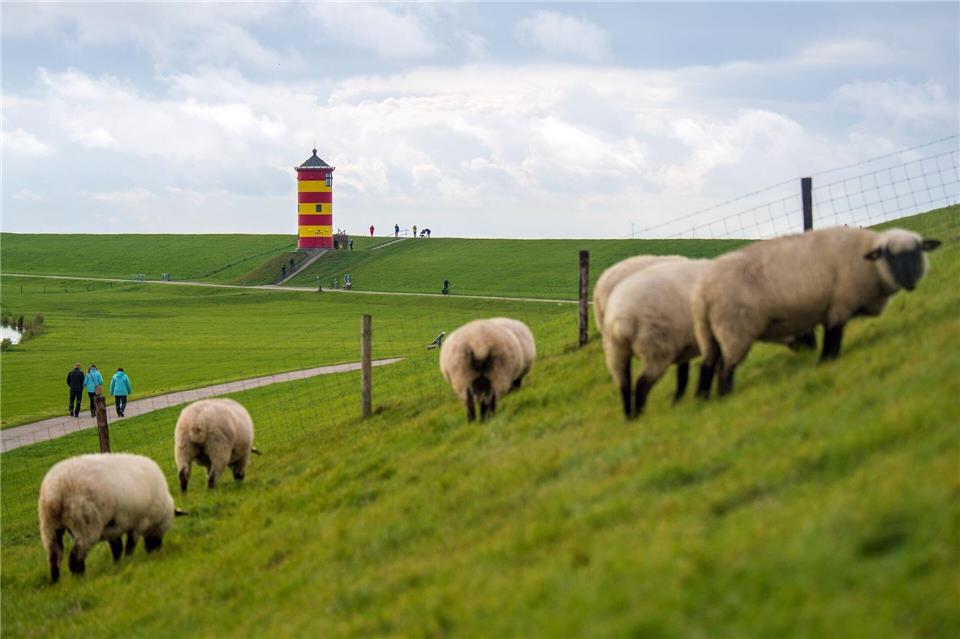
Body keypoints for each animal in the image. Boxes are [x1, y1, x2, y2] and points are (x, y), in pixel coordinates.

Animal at [38, 453, 186, 583]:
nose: (155, 551)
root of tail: (54, 493)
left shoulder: (114, 527)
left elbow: (117, 547)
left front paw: (117, 564)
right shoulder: (139, 523)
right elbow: (130, 545)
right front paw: (128, 560)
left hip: (49, 526)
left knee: (54, 556)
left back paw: (56, 581)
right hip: (85, 525)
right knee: (75, 557)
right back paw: (79, 578)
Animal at [602, 259, 710, 418]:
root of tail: (621, 319)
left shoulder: (685, 346)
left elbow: (682, 374)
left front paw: (678, 401)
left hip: (616, 351)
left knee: (624, 384)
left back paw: (629, 418)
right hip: (656, 347)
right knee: (641, 384)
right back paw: (640, 416)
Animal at [692, 226, 941, 398]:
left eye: (917, 252)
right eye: (888, 255)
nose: (910, 281)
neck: (868, 260)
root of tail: (702, 292)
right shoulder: (839, 305)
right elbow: (833, 336)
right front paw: (826, 362)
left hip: (709, 333)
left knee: (708, 365)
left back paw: (703, 400)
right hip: (734, 330)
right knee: (724, 369)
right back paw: (725, 396)